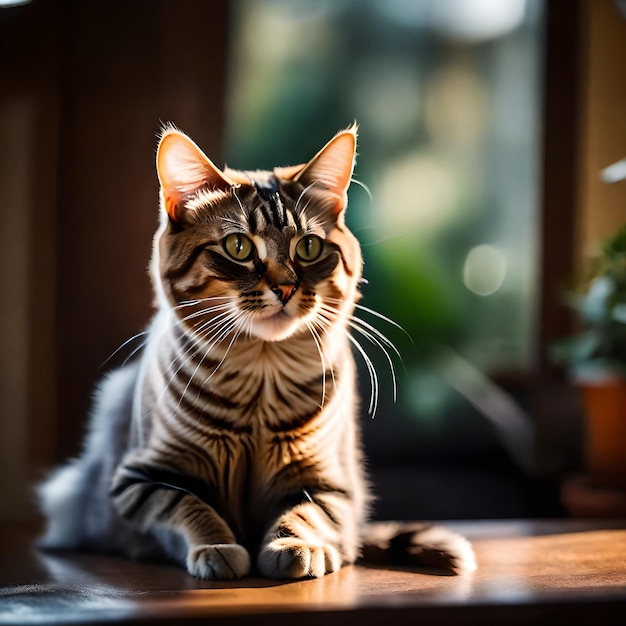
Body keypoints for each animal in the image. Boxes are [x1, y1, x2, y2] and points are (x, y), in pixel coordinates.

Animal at [36, 124, 472, 576]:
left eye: (309, 248)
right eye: (239, 247)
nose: (286, 287)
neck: (261, 381)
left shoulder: (328, 483)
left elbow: (303, 512)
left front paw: (296, 546)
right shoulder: (144, 479)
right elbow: (191, 507)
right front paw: (217, 548)